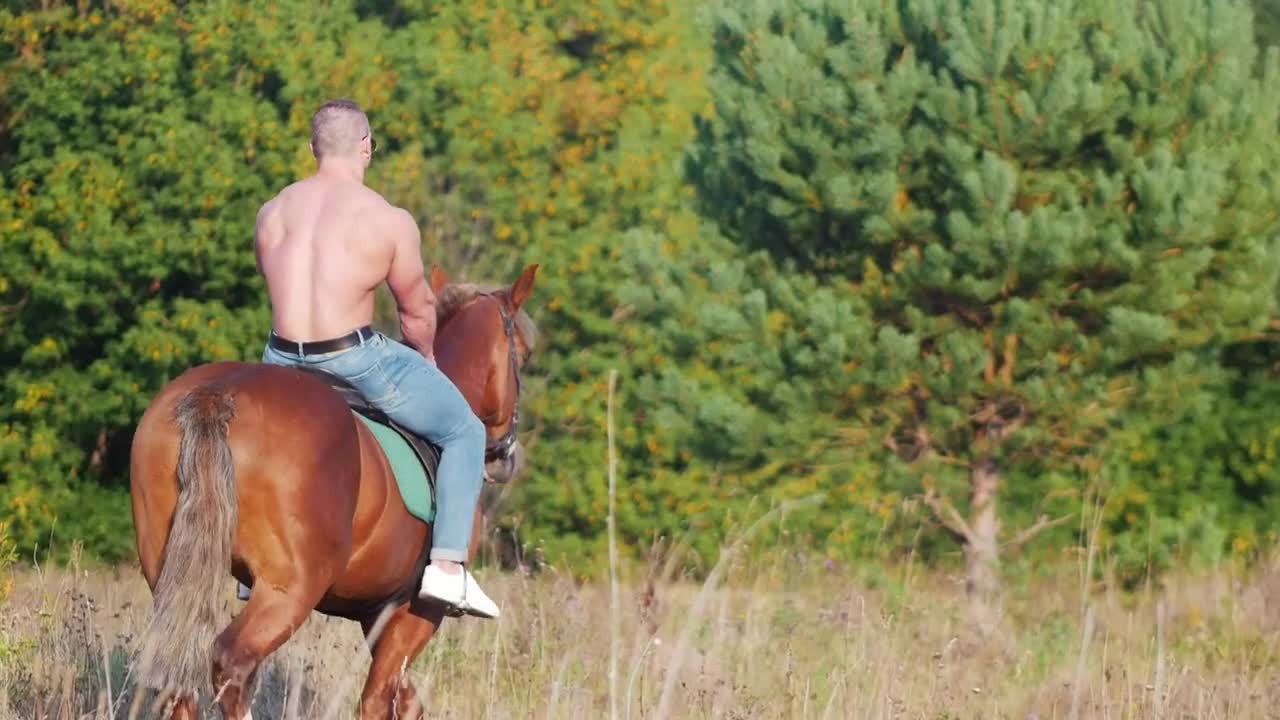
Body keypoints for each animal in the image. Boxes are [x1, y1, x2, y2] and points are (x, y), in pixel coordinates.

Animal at [124, 263, 535, 717]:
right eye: (525, 354)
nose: (506, 457)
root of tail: (218, 394)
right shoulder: (416, 611)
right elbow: (379, 698)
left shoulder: (376, 610)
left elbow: (405, 699)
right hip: (289, 592)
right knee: (231, 663)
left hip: (170, 571)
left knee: (180, 679)